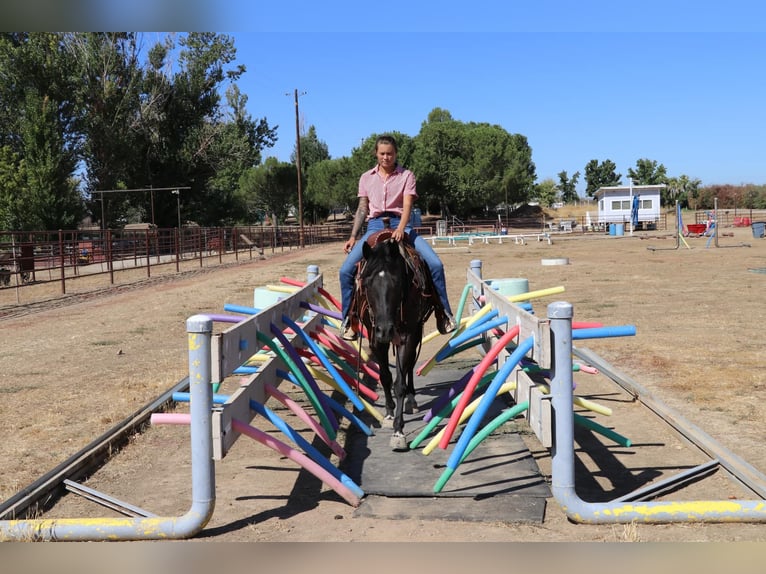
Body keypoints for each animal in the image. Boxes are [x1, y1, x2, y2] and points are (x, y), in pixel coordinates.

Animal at [354, 232, 438, 452]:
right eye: (367, 283)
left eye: (398, 282)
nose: (386, 330)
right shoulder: (375, 336)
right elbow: (384, 376)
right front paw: (389, 414)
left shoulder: (408, 336)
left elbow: (399, 382)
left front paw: (398, 431)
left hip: (415, 332)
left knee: (409, 367)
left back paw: (411, 398)